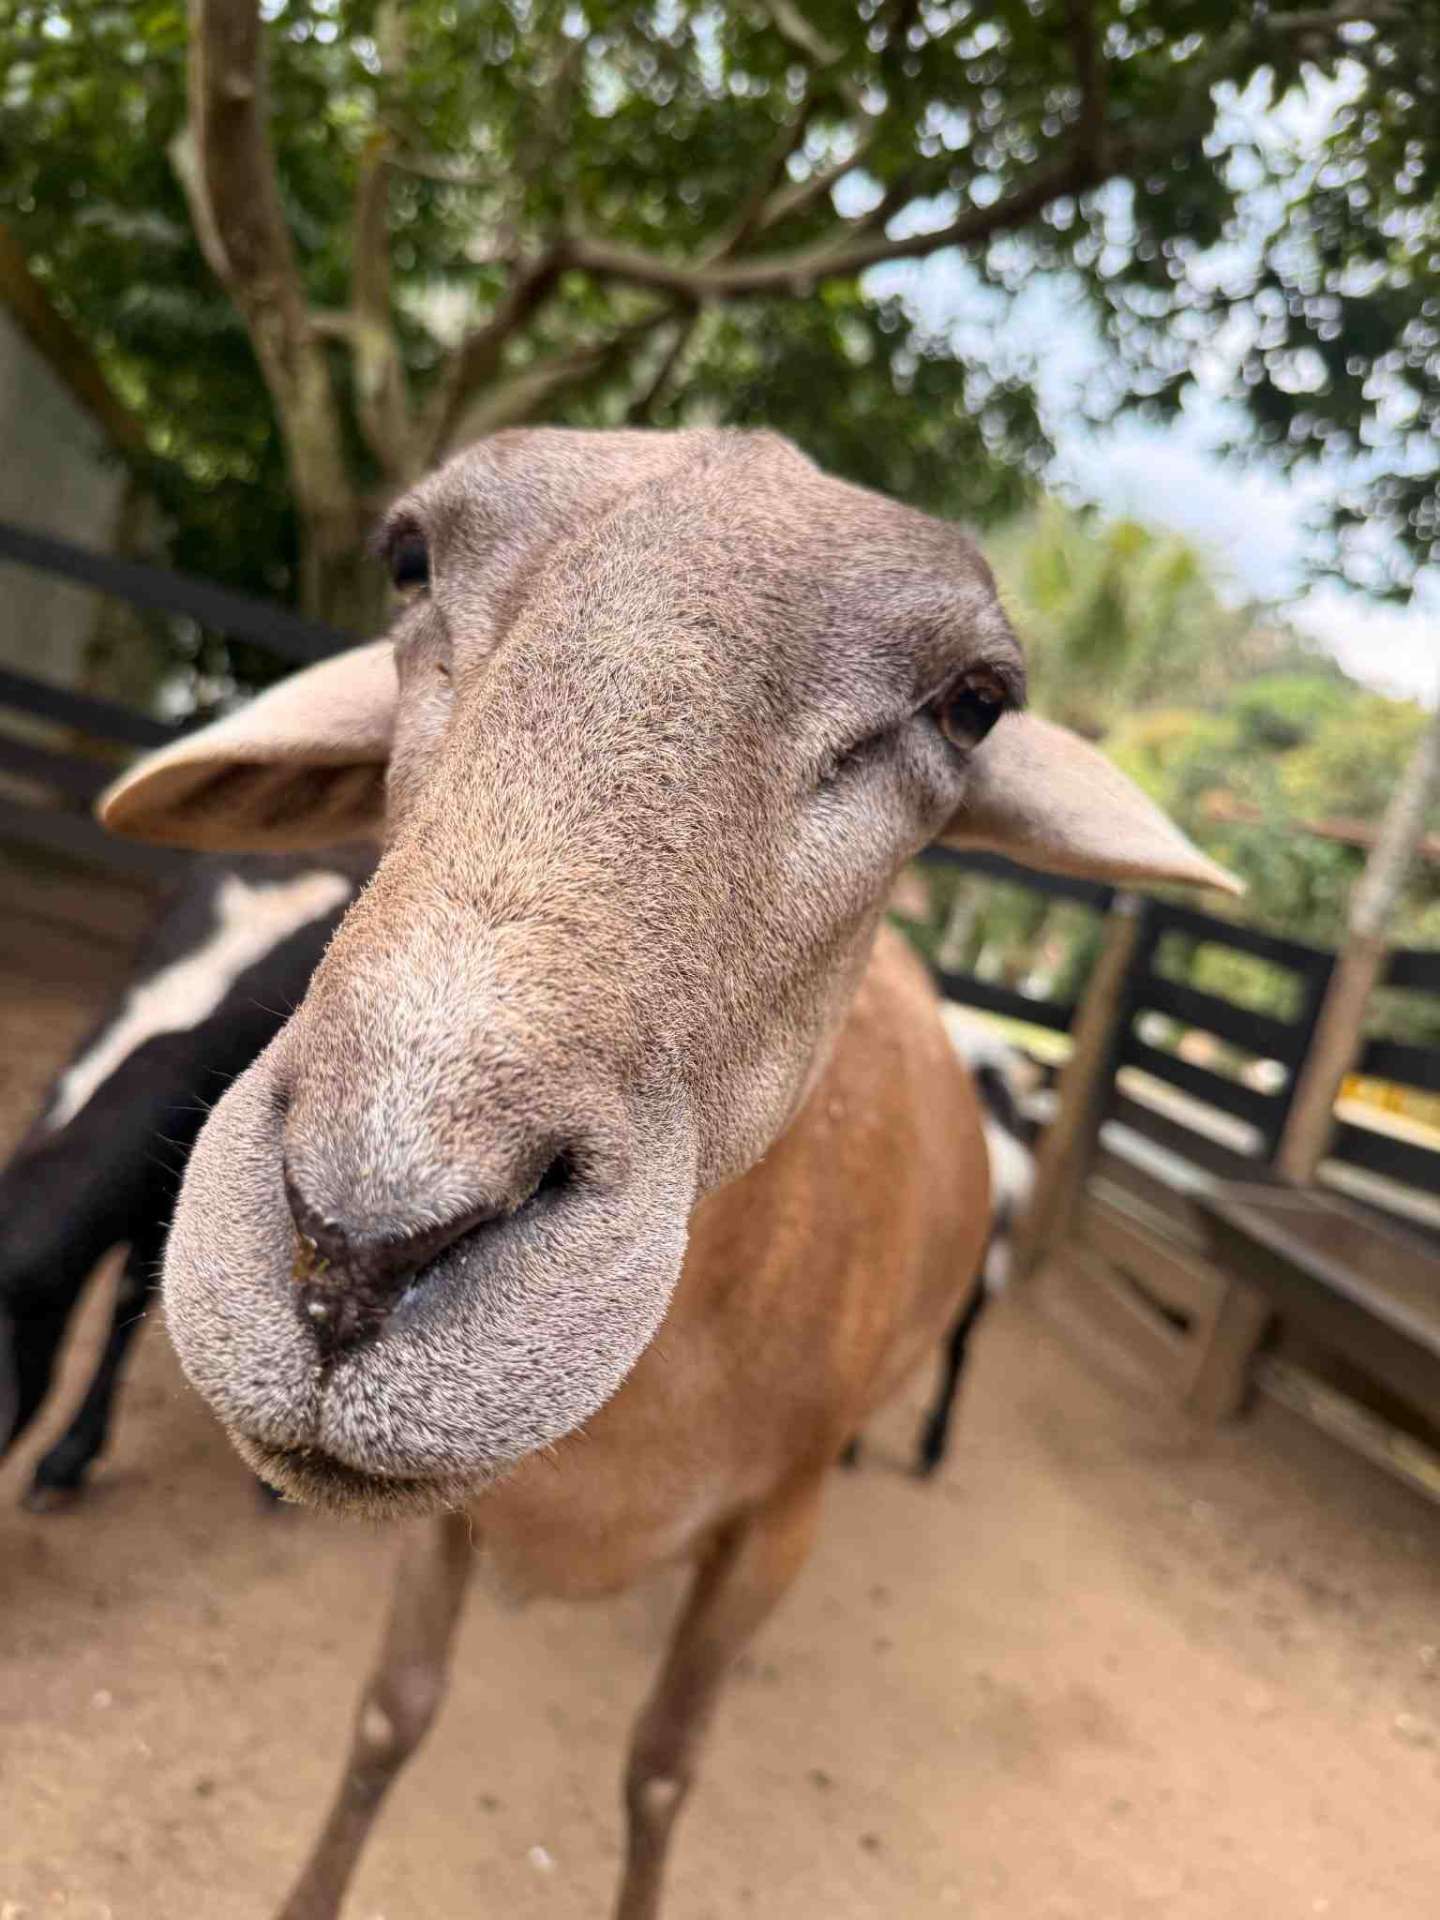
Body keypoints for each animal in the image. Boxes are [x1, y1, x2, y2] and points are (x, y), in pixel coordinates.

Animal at [99, 428, 1234, 1920]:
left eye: (975, 704)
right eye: (408, 559)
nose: (353, 1249)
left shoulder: (772, 1531)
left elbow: (658, 1771)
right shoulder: (449, 1519)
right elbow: (393, 1713)